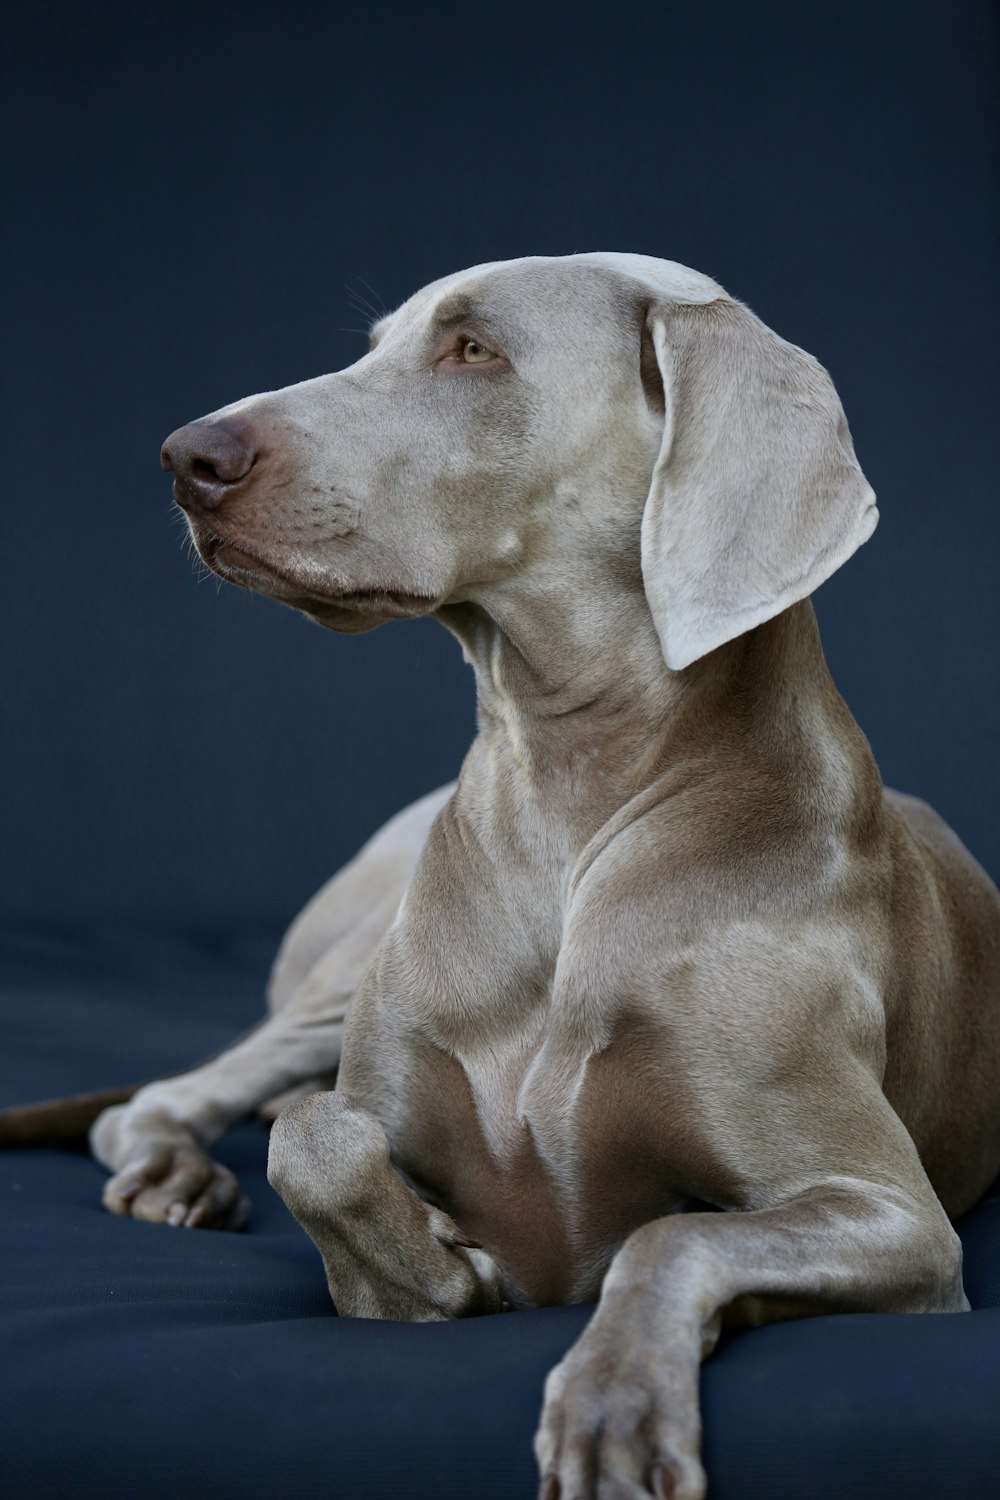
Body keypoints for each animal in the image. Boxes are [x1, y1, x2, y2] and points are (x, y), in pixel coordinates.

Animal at [35, 258, 1000, 1500]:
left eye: (473, 350)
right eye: (374, 345)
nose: (184, 455)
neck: (569, 808)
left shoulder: (897, 1221)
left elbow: (673, 1232)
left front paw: (616, 1401)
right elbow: (319, 1137)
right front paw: (438, 1265)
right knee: (169, 1099)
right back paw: (178, 1176)